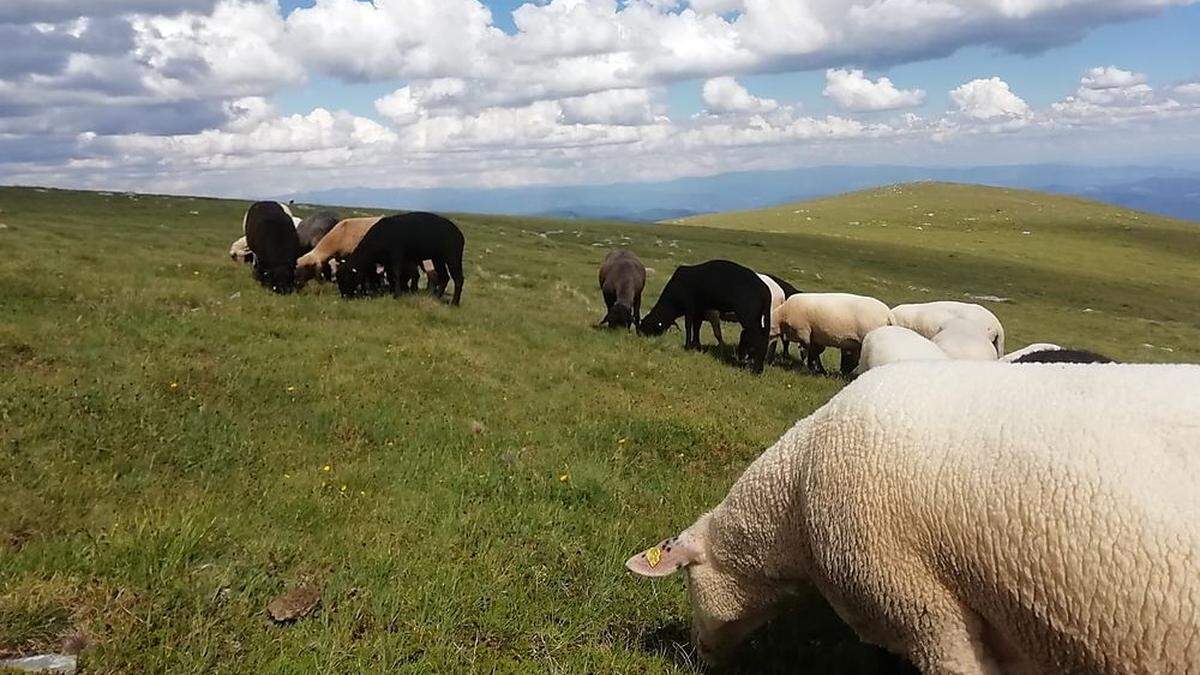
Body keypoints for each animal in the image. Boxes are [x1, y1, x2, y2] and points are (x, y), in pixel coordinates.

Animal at [638, 258, 768, 372]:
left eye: (646, 327)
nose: (640, 336)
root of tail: (765, 290)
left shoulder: (690, 308)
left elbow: (689, 326)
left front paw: (688, 346)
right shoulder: (699, 313)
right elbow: (696, 328)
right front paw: (696, 346)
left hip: (749, 317)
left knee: (758, 338)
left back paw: (756, 368)